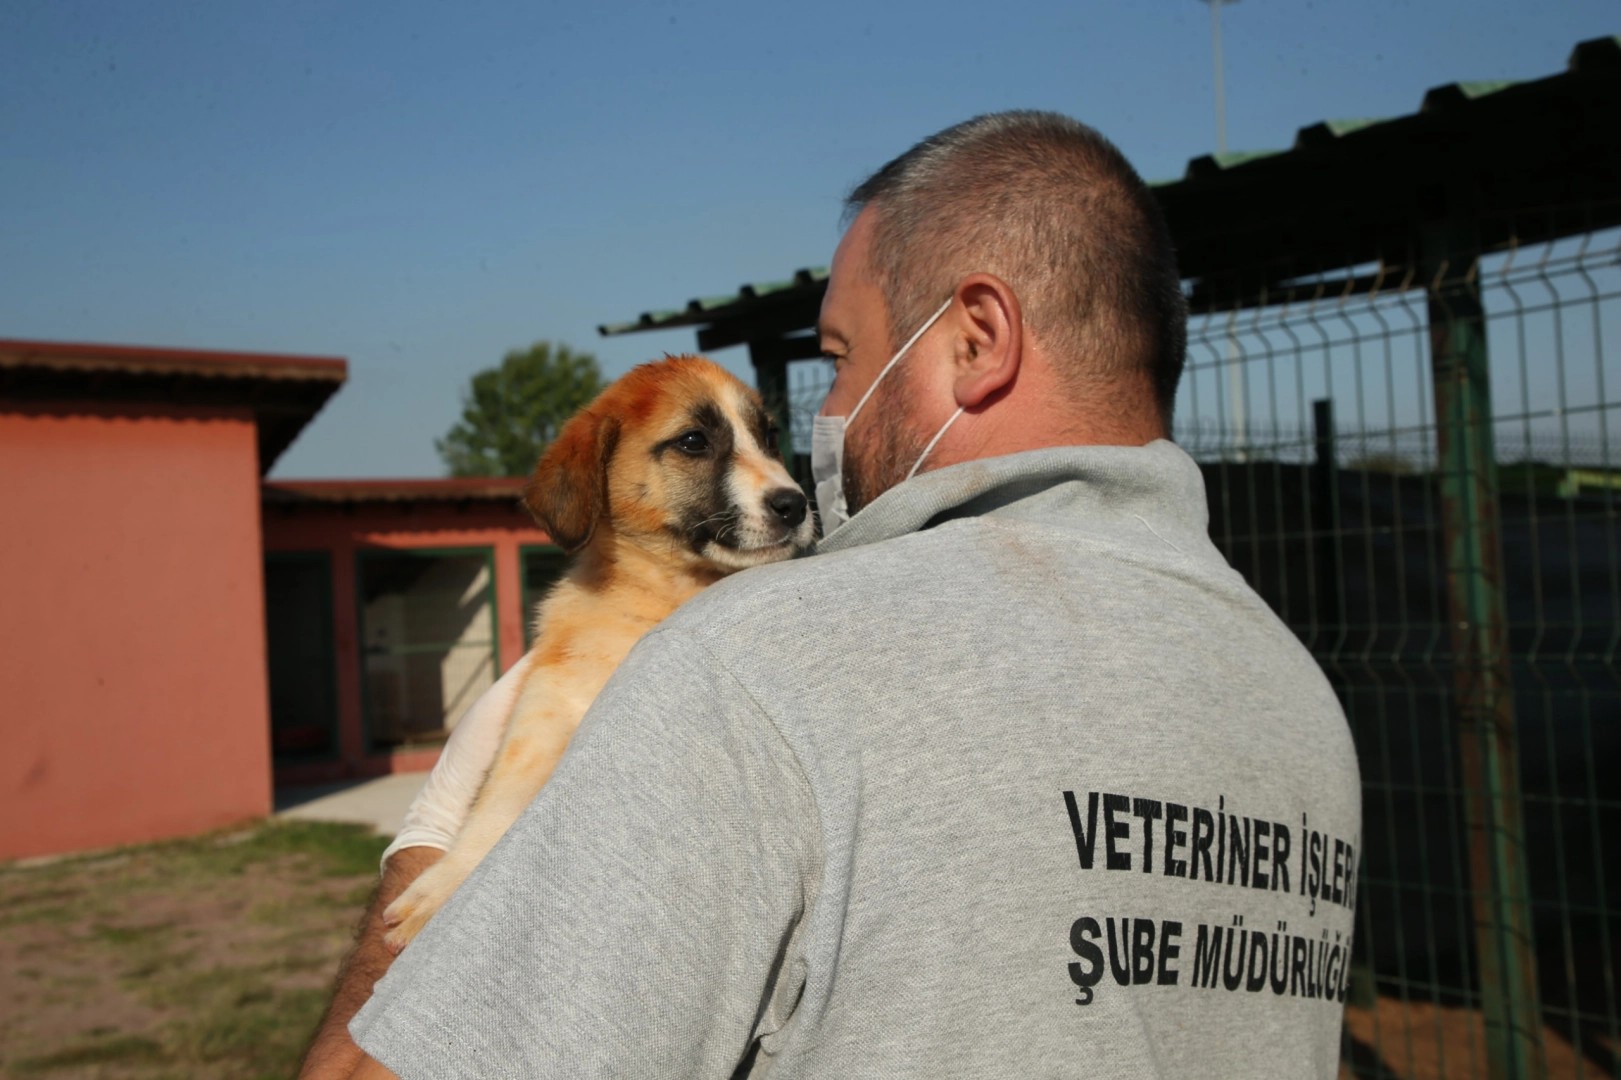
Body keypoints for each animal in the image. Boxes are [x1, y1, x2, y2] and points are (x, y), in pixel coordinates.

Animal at [377, 355, 810, 953]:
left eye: (769, 436)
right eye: (694, 441)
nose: (795, 505)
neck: (661, 595)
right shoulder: (545, 711)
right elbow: (497, 804)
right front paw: (440, 887)